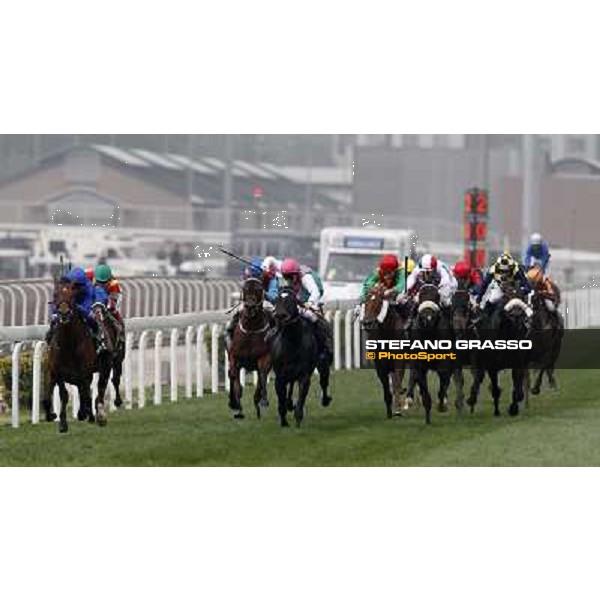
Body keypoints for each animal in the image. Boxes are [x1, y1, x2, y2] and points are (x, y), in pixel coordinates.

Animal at [226, 276, 270, 418]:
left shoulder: (265, 357)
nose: (250, 307)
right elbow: (236, 383)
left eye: (259, 289)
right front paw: (237, 407)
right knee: (231, 375)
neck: (251, 330)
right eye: (244, 289)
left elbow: (262, 376)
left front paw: (263, 401)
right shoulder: (235, 357)